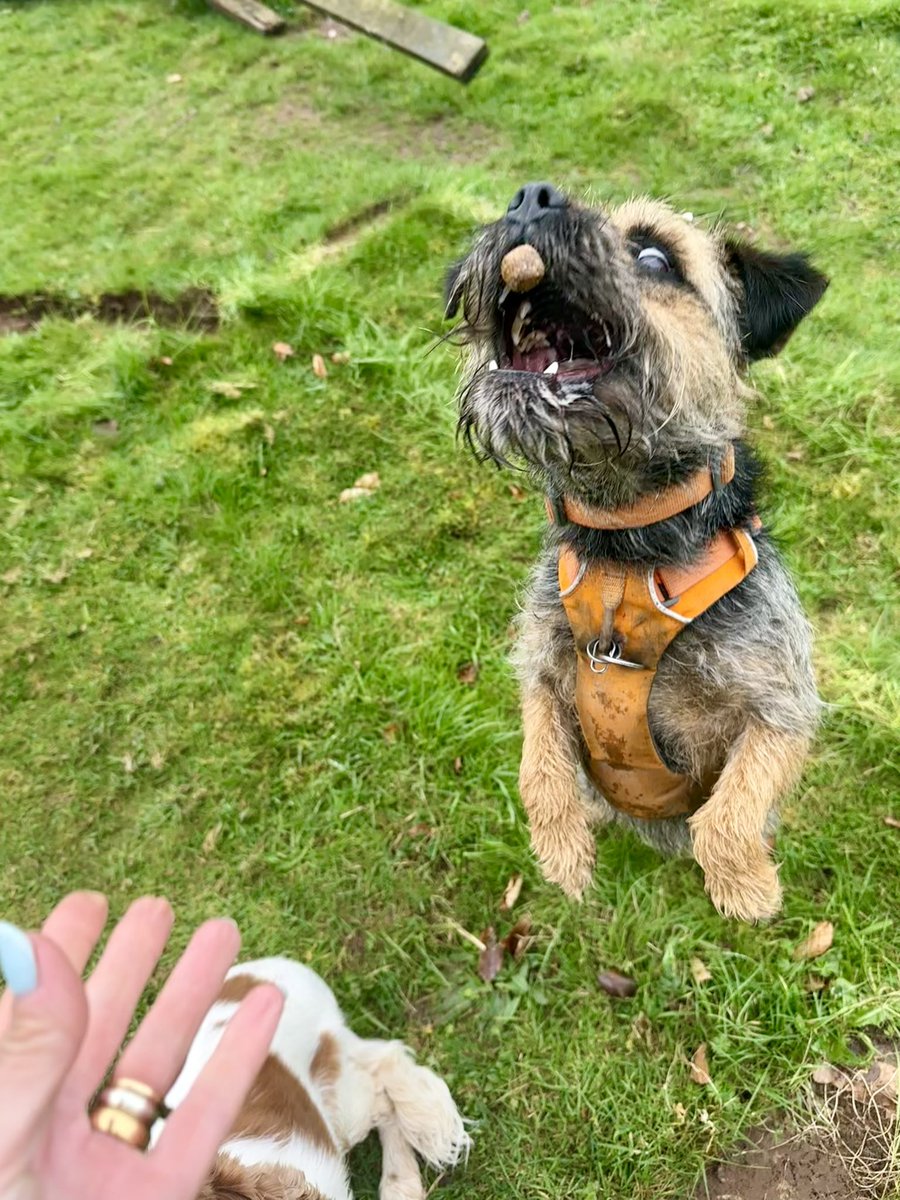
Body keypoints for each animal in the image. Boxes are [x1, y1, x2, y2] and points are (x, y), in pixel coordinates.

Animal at [448, 184, 830, 916]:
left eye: (654, 257)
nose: (529, 198)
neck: (627, 548)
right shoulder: (541, 670)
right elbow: (538, 771)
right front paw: (562, 857)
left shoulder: (781, 708)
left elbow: (729, 816)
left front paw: (746, 888)